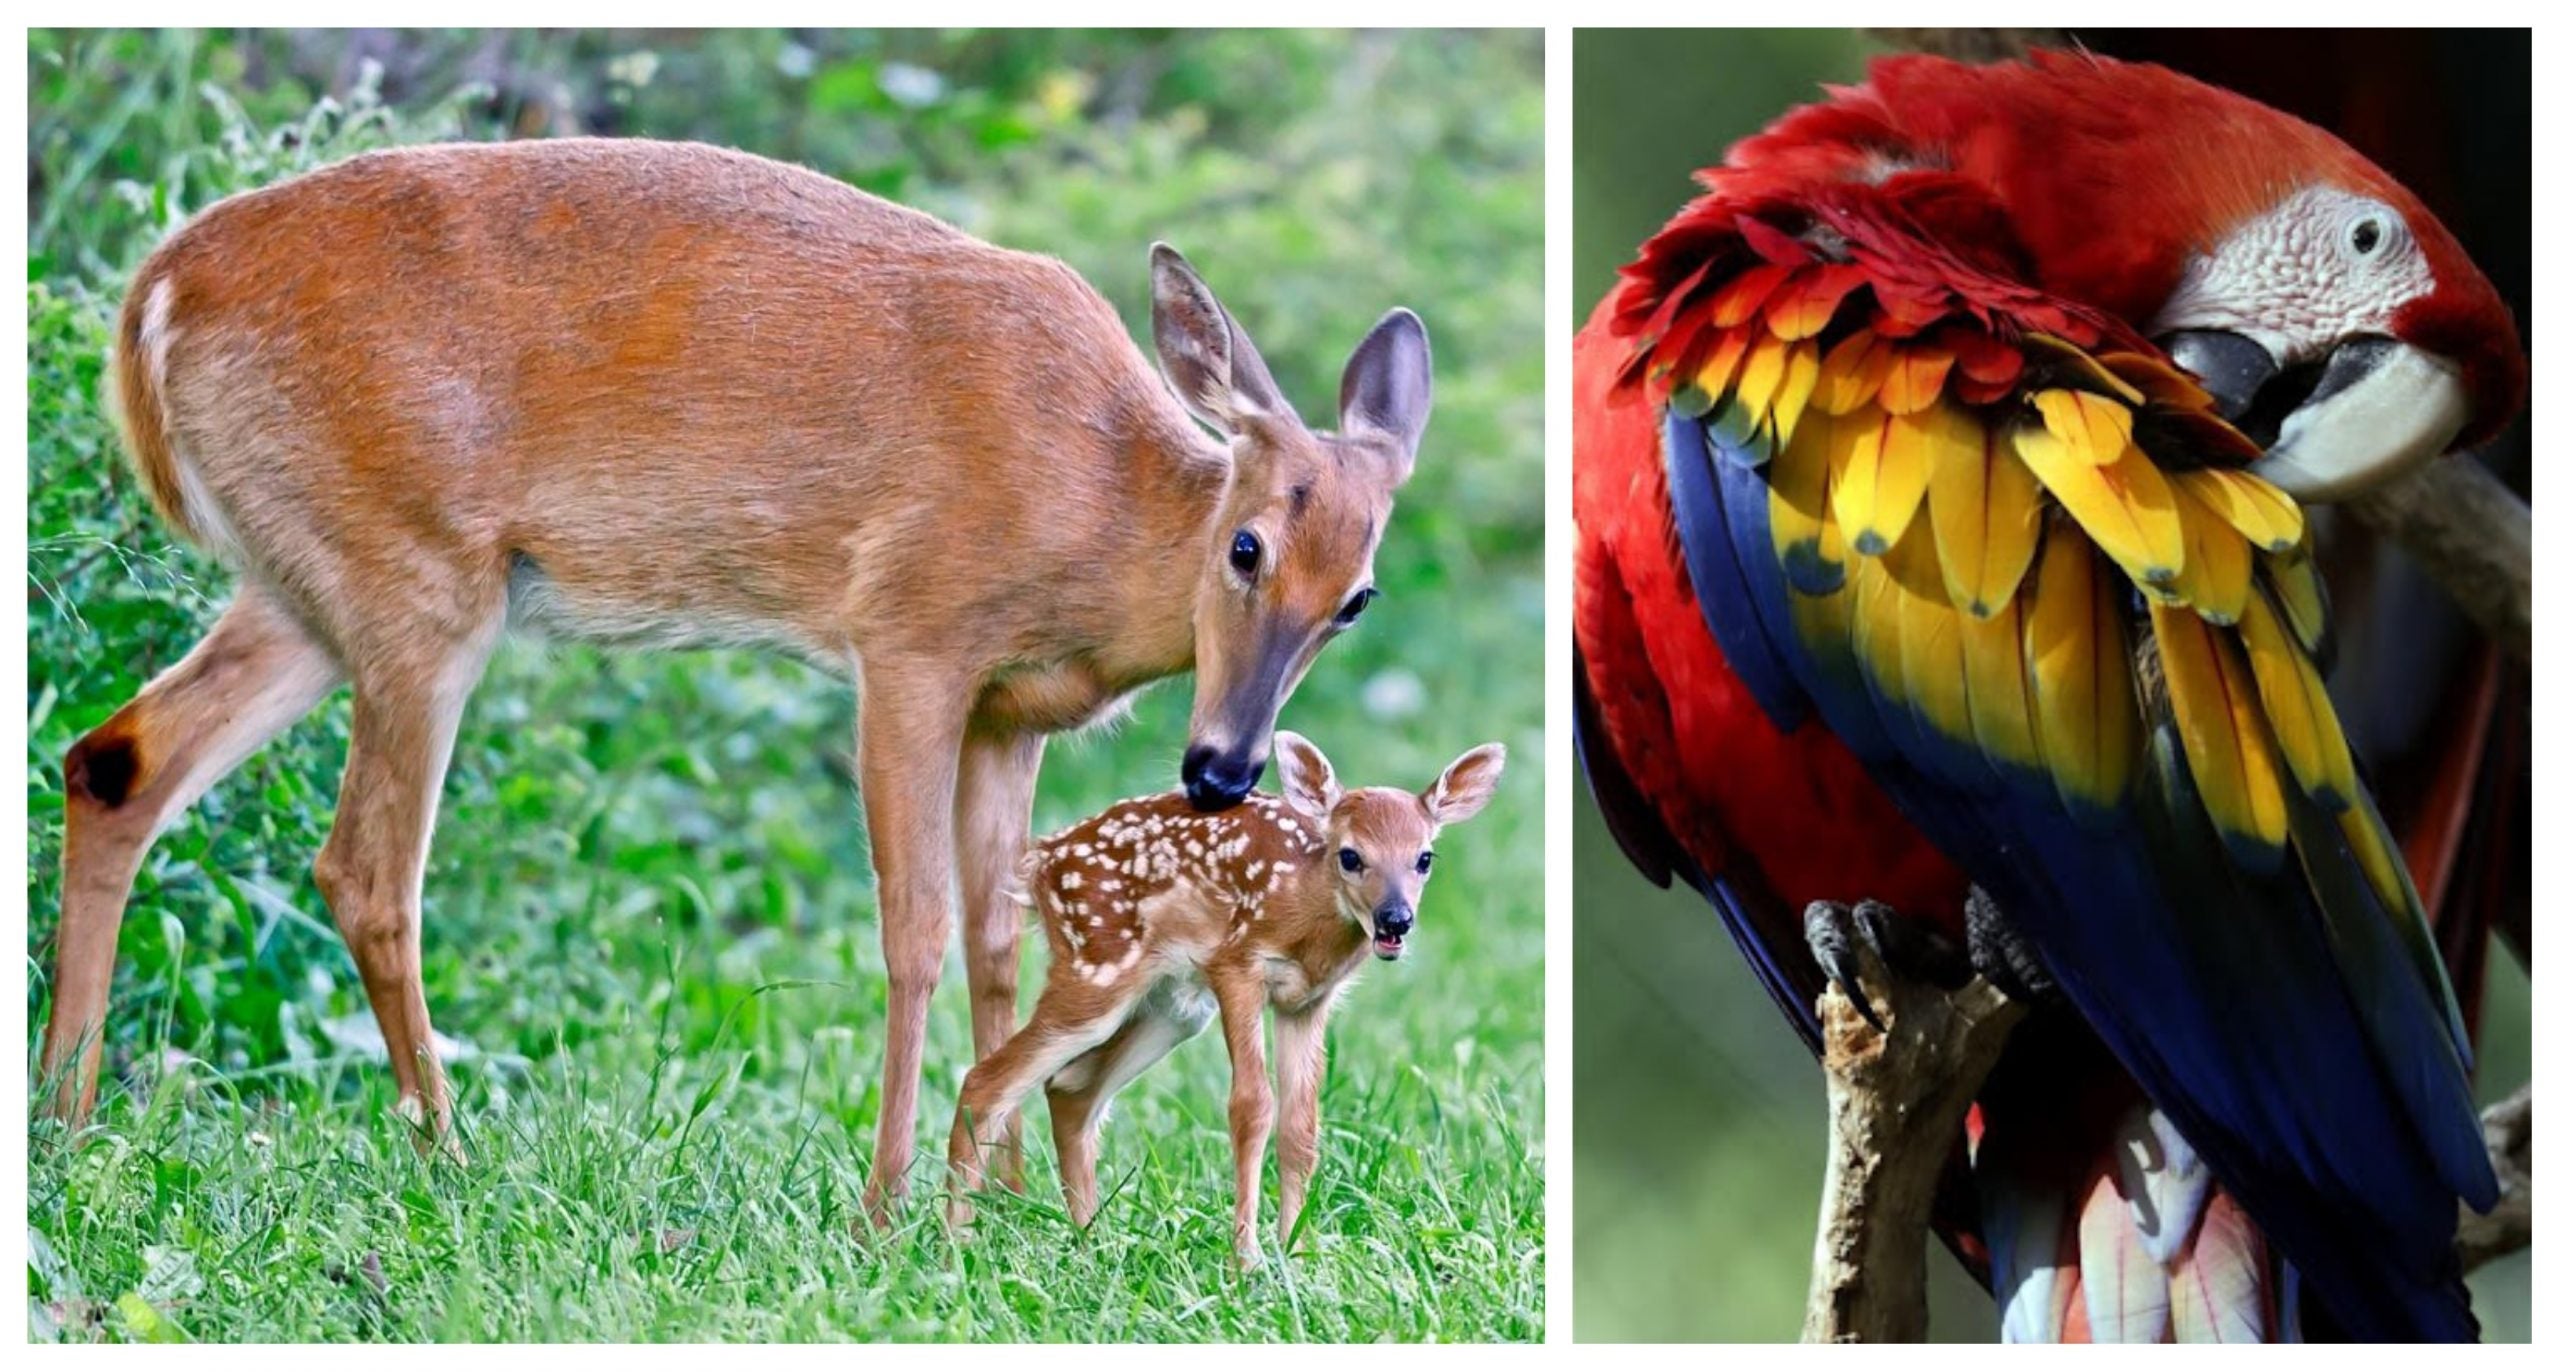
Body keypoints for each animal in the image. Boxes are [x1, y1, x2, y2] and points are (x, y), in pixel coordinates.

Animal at [40, 133, 1433, 1218]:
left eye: (1357, 598)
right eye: (1245, 544)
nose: (1222, 769)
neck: (1102, 509)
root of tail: (152, 299)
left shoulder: (1010, 711)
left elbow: (997, 936)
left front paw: (1003, 1197)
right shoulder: (909, 635)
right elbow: (915, 930)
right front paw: (892, 1200)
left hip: (303, 590)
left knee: (117, 759)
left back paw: (66, 1119)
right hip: (414, 579)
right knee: (366, 868)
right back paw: (450, 1158)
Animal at [942, 732, 1495, 1259]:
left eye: (1424, 858)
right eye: (1351, 856)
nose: (1395, 919)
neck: (1303, 907)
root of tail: (1038, 864)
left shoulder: (1307, 1002)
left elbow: (1301, 1126)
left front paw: (1296, 1253)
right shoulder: (1236, 965)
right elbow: (1251, 1106)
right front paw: (1247, 1258)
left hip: (1172, 1006)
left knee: (1070, 1087)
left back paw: (1091, 1242)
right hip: (1096, 967)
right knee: (985, 1081)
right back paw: (955, 1243)